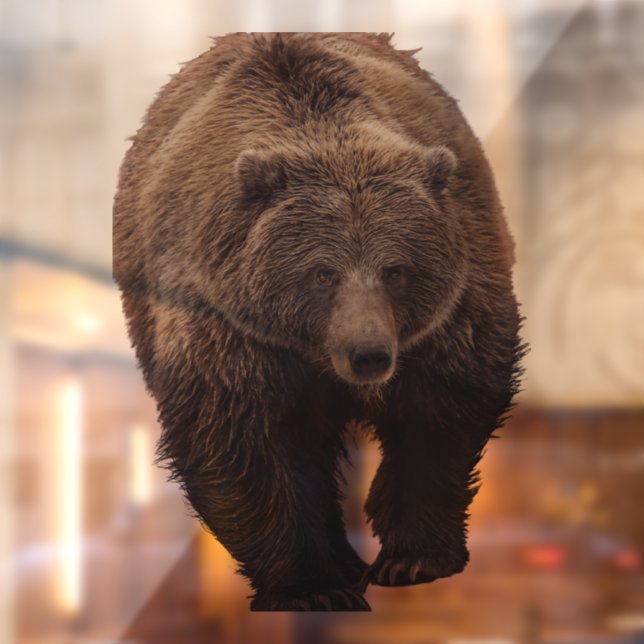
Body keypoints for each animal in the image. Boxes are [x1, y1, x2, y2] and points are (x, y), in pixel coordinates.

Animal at [113, 32, 526, 611]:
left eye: (395, 269)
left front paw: (412, 558)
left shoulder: (452, 308)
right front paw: (315, 586)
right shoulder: (229, 325)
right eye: (322, 272)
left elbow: (439, 414)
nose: (368, 353)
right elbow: (244, 441)